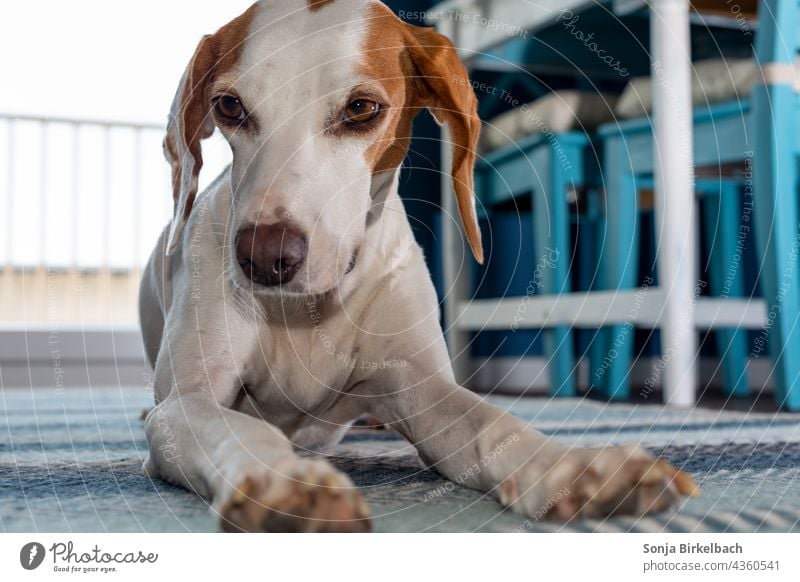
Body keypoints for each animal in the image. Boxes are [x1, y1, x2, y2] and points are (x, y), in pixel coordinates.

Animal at [141, 0, 696, 532]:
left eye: (361, 108)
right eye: (229, 106)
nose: (264, 258)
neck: (306, 312)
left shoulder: (420, 388)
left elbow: (490, 422)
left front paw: (574, 470)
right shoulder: (185, 407)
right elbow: (238, 430)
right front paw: (284, 485)